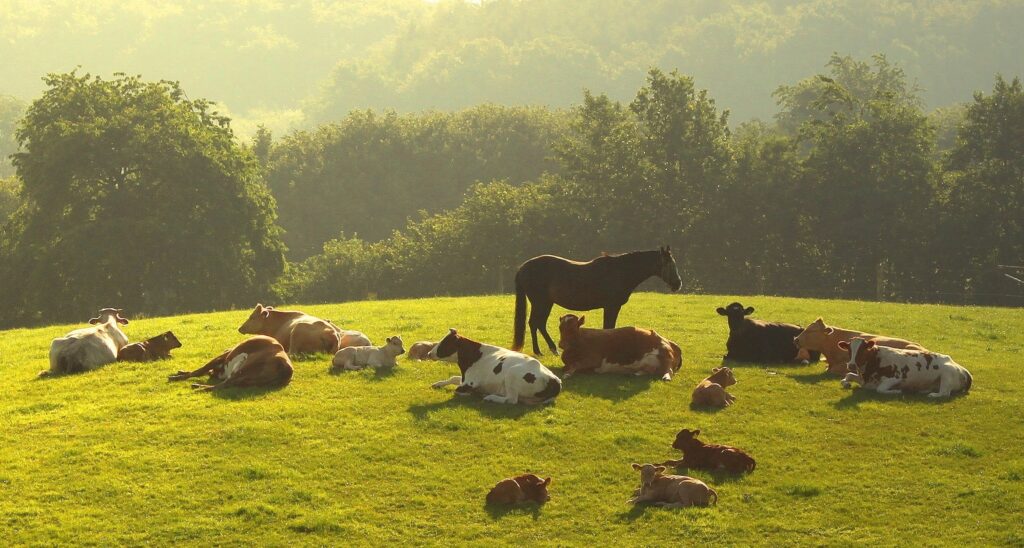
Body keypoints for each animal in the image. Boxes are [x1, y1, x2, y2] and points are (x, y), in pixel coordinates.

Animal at [427, 328, 562, 405]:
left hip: (512, 374)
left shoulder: (470, 383)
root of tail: (555, 380)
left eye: (444, 342)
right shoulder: (465, 378)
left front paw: (475, 393)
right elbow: (453, 378)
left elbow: (458, 389)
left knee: (511, 400)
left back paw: (490, 397)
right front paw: (438, 384)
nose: (429, 353)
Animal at [512, 246, 682, 355]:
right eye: (668, 264)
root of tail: (523, 268)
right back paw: (542, 350)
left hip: (545, 303)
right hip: (541, 302)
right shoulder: (611, 306)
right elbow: (609, 327)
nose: (678, 284)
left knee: (538, 324)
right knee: (535, 323)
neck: (620, 271)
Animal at [838, 337, 973, 398]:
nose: (851, 364)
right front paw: (846, 382)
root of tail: (964, 370)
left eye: (863, 350)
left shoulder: (897, 378)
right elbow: (848, 375)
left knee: (945, 393)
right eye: (849, 349)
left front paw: (896, 391)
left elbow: (880, 389)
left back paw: (933, 395)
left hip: (947, 373)